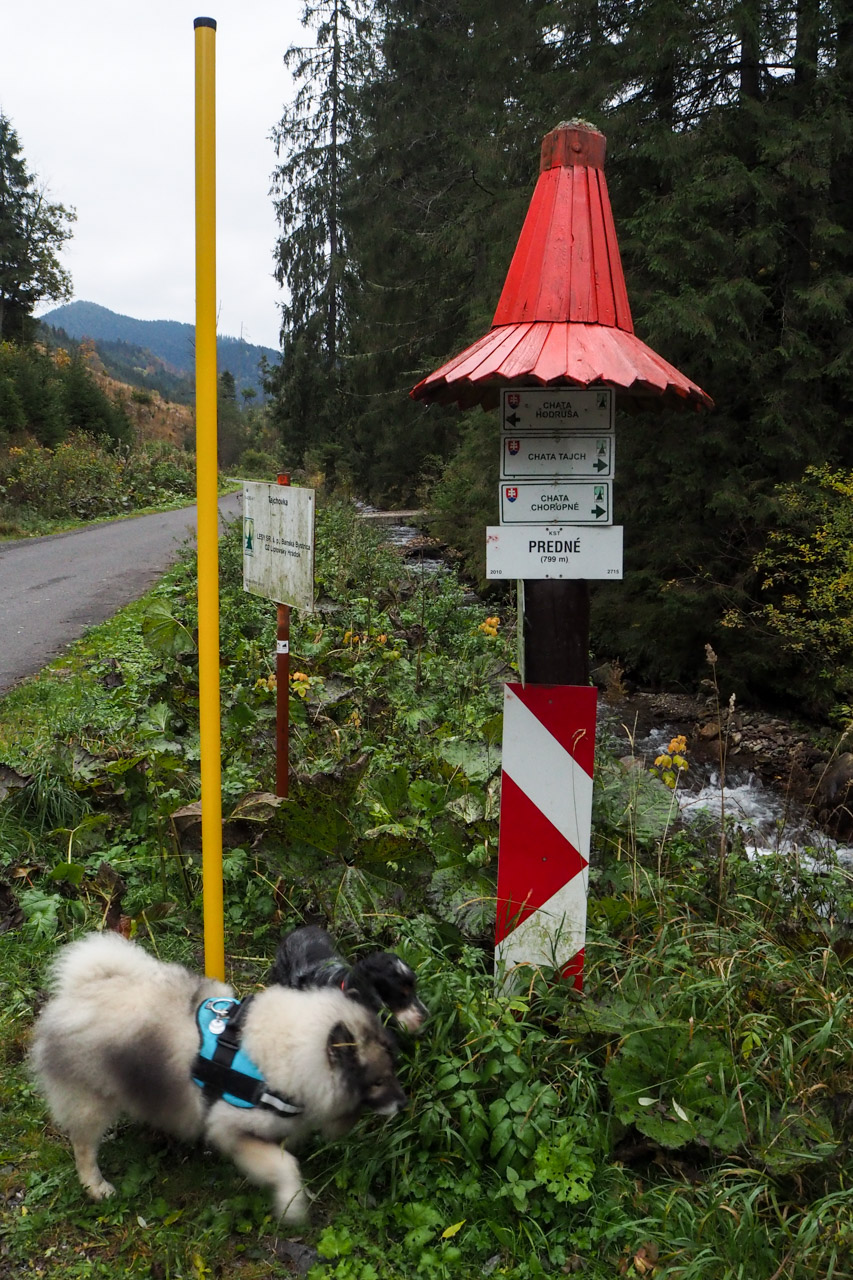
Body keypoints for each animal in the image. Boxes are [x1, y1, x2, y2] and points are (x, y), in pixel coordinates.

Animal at [29, 931, 404, 1218]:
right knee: (83, 1146)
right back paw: (96, 1186)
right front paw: (292, 1204)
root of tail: (78, 991)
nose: (403, 1103)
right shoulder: (232, 1131)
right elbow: (285, 1165)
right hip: (90, 1100)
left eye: (394, 1071)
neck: (291, 1049)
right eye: (378, 1082)